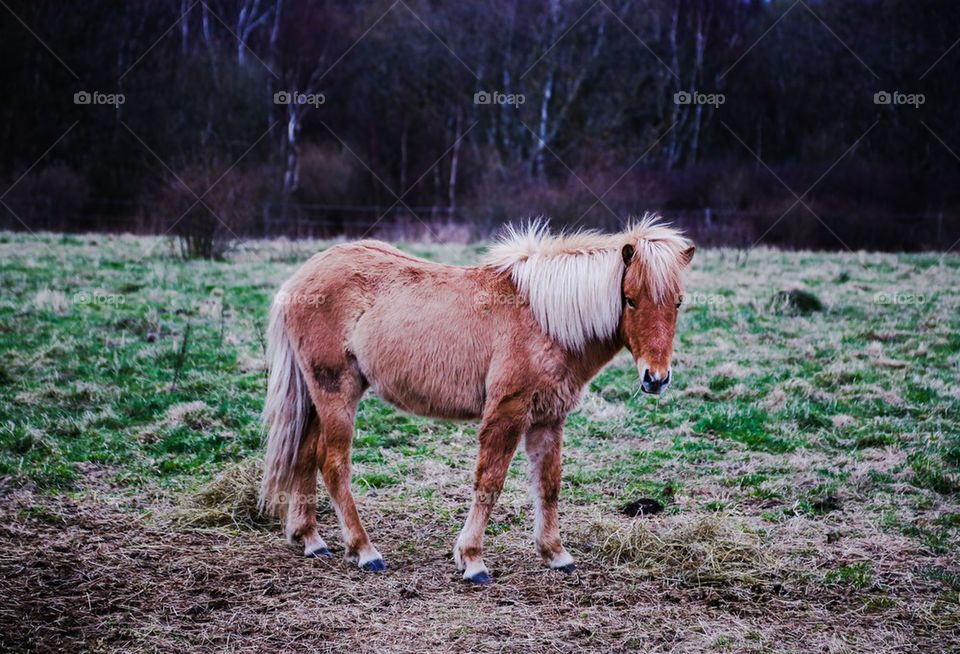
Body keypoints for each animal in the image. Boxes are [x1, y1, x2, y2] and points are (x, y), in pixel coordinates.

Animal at [259, 216, 695, 584]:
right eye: (630, 299)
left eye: (677, 301)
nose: (656, 379)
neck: (545, 320)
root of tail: (302, 277)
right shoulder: (507, 412)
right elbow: (490, 482)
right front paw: (472, 560)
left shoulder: (548, 419)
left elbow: (548, 484)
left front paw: (555, 554)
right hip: (336, 392)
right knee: (333, 463)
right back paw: (365, 551)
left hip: (318, 396)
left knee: (304, 454)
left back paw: (311, 540)